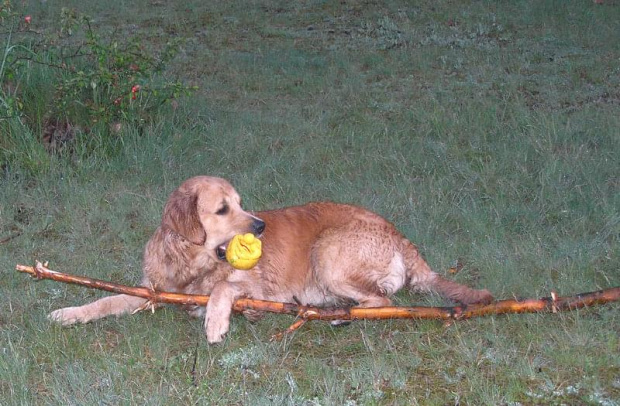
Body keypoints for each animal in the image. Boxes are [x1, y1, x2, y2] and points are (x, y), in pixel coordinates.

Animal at [49, 177, 494, 342]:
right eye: (223, 209)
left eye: (242, 203)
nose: (260, 226)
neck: (191, 263)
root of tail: (403, 238)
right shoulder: (152, 290)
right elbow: (105, 299)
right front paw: (70, 312)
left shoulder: (255, 286)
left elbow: (223, 287)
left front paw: (216, 321)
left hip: (327, 252)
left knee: (384, 300)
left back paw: (339, 315)